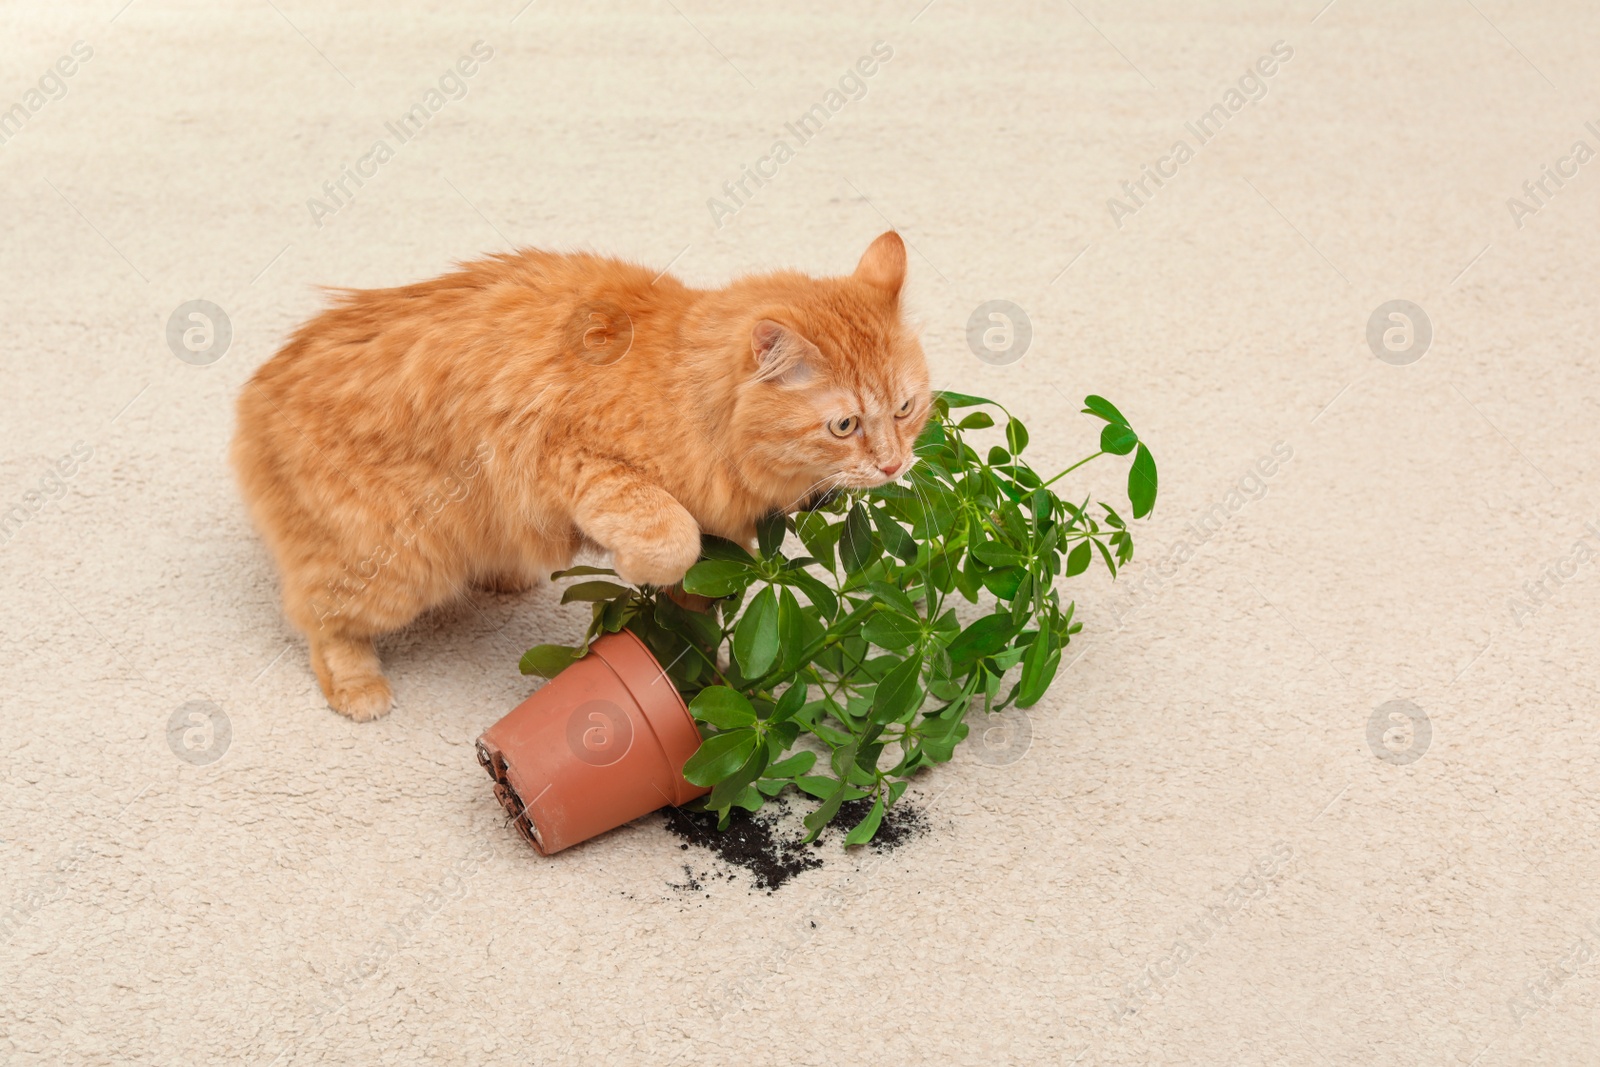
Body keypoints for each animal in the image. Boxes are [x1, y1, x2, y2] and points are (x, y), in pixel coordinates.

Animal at [240, 230, 934, 723]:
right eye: (844, 425)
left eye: (905, 408)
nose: (893, 463)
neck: (686, 394)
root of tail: (256, 394)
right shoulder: (569, 457)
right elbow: (670, 536)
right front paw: (635, 571)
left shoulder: (725, 543)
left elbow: (696, 611)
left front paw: (698, 678)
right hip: (399, 565)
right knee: (319, 618)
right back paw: (358, 685)